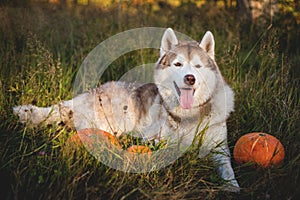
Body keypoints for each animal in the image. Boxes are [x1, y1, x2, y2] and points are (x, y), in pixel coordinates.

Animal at [13, 28, 239, 191]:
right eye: (178, 64)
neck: (190, 115)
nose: (190, 78)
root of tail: (91, 92)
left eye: (198, 67)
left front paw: (232, 186)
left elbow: (227, 168)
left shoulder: (220, 149)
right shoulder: (159, 139)